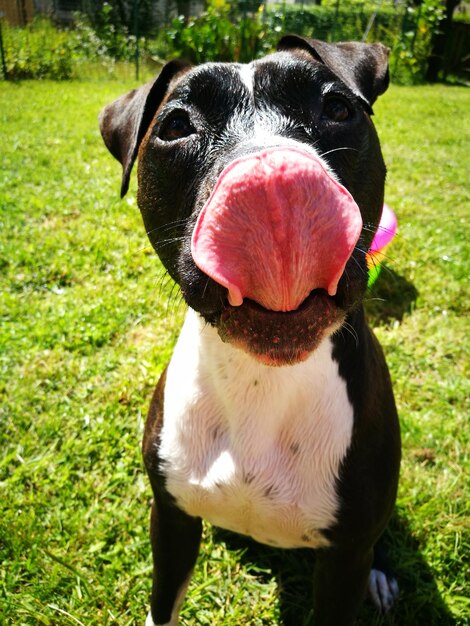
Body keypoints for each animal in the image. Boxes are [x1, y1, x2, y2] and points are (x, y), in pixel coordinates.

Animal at [99, 35, 400, 624]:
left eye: (337, 109)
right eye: (176, 125)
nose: (273, 178)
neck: (261, 379)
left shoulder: (345, 561)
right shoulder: (170, 520)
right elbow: (163, 604)